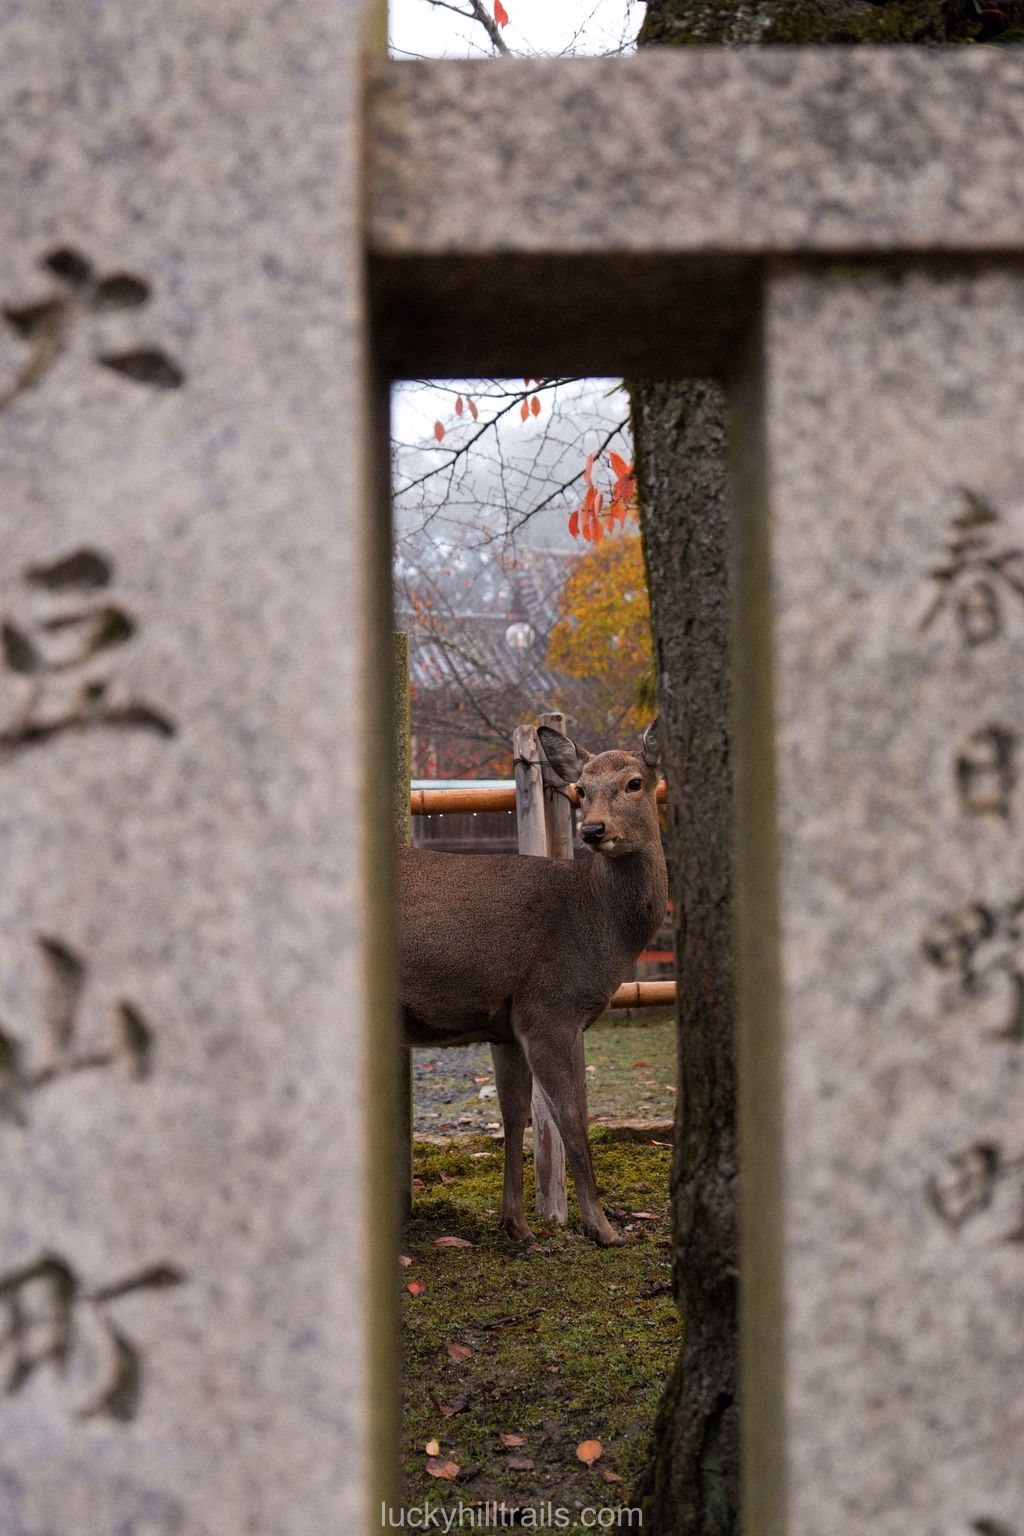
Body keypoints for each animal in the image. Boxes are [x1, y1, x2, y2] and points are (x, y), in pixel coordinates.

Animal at [398, 720, 667, 1246]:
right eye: (581, 788)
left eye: (634, 782)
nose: (593, 829)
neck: (598, 926)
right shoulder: (549, 1009)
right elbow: (572, 1119)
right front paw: (602, 1228)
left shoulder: (505, 1025)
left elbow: (514, 1116)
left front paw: (517, 1225)